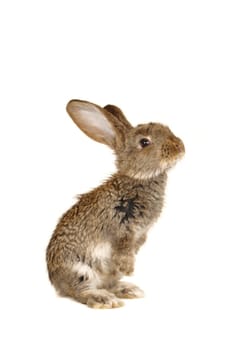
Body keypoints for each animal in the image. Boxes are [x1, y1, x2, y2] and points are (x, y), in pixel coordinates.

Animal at [46, 99, 185, 308]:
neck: (137, 178)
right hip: (80, 270)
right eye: (144, 142)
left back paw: (128, 290)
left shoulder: (140, 232)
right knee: (79, 291)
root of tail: (56, 282)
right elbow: (123, 249)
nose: (180, 147)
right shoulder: (121, 227)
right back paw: (103, 299)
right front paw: (128, 268)